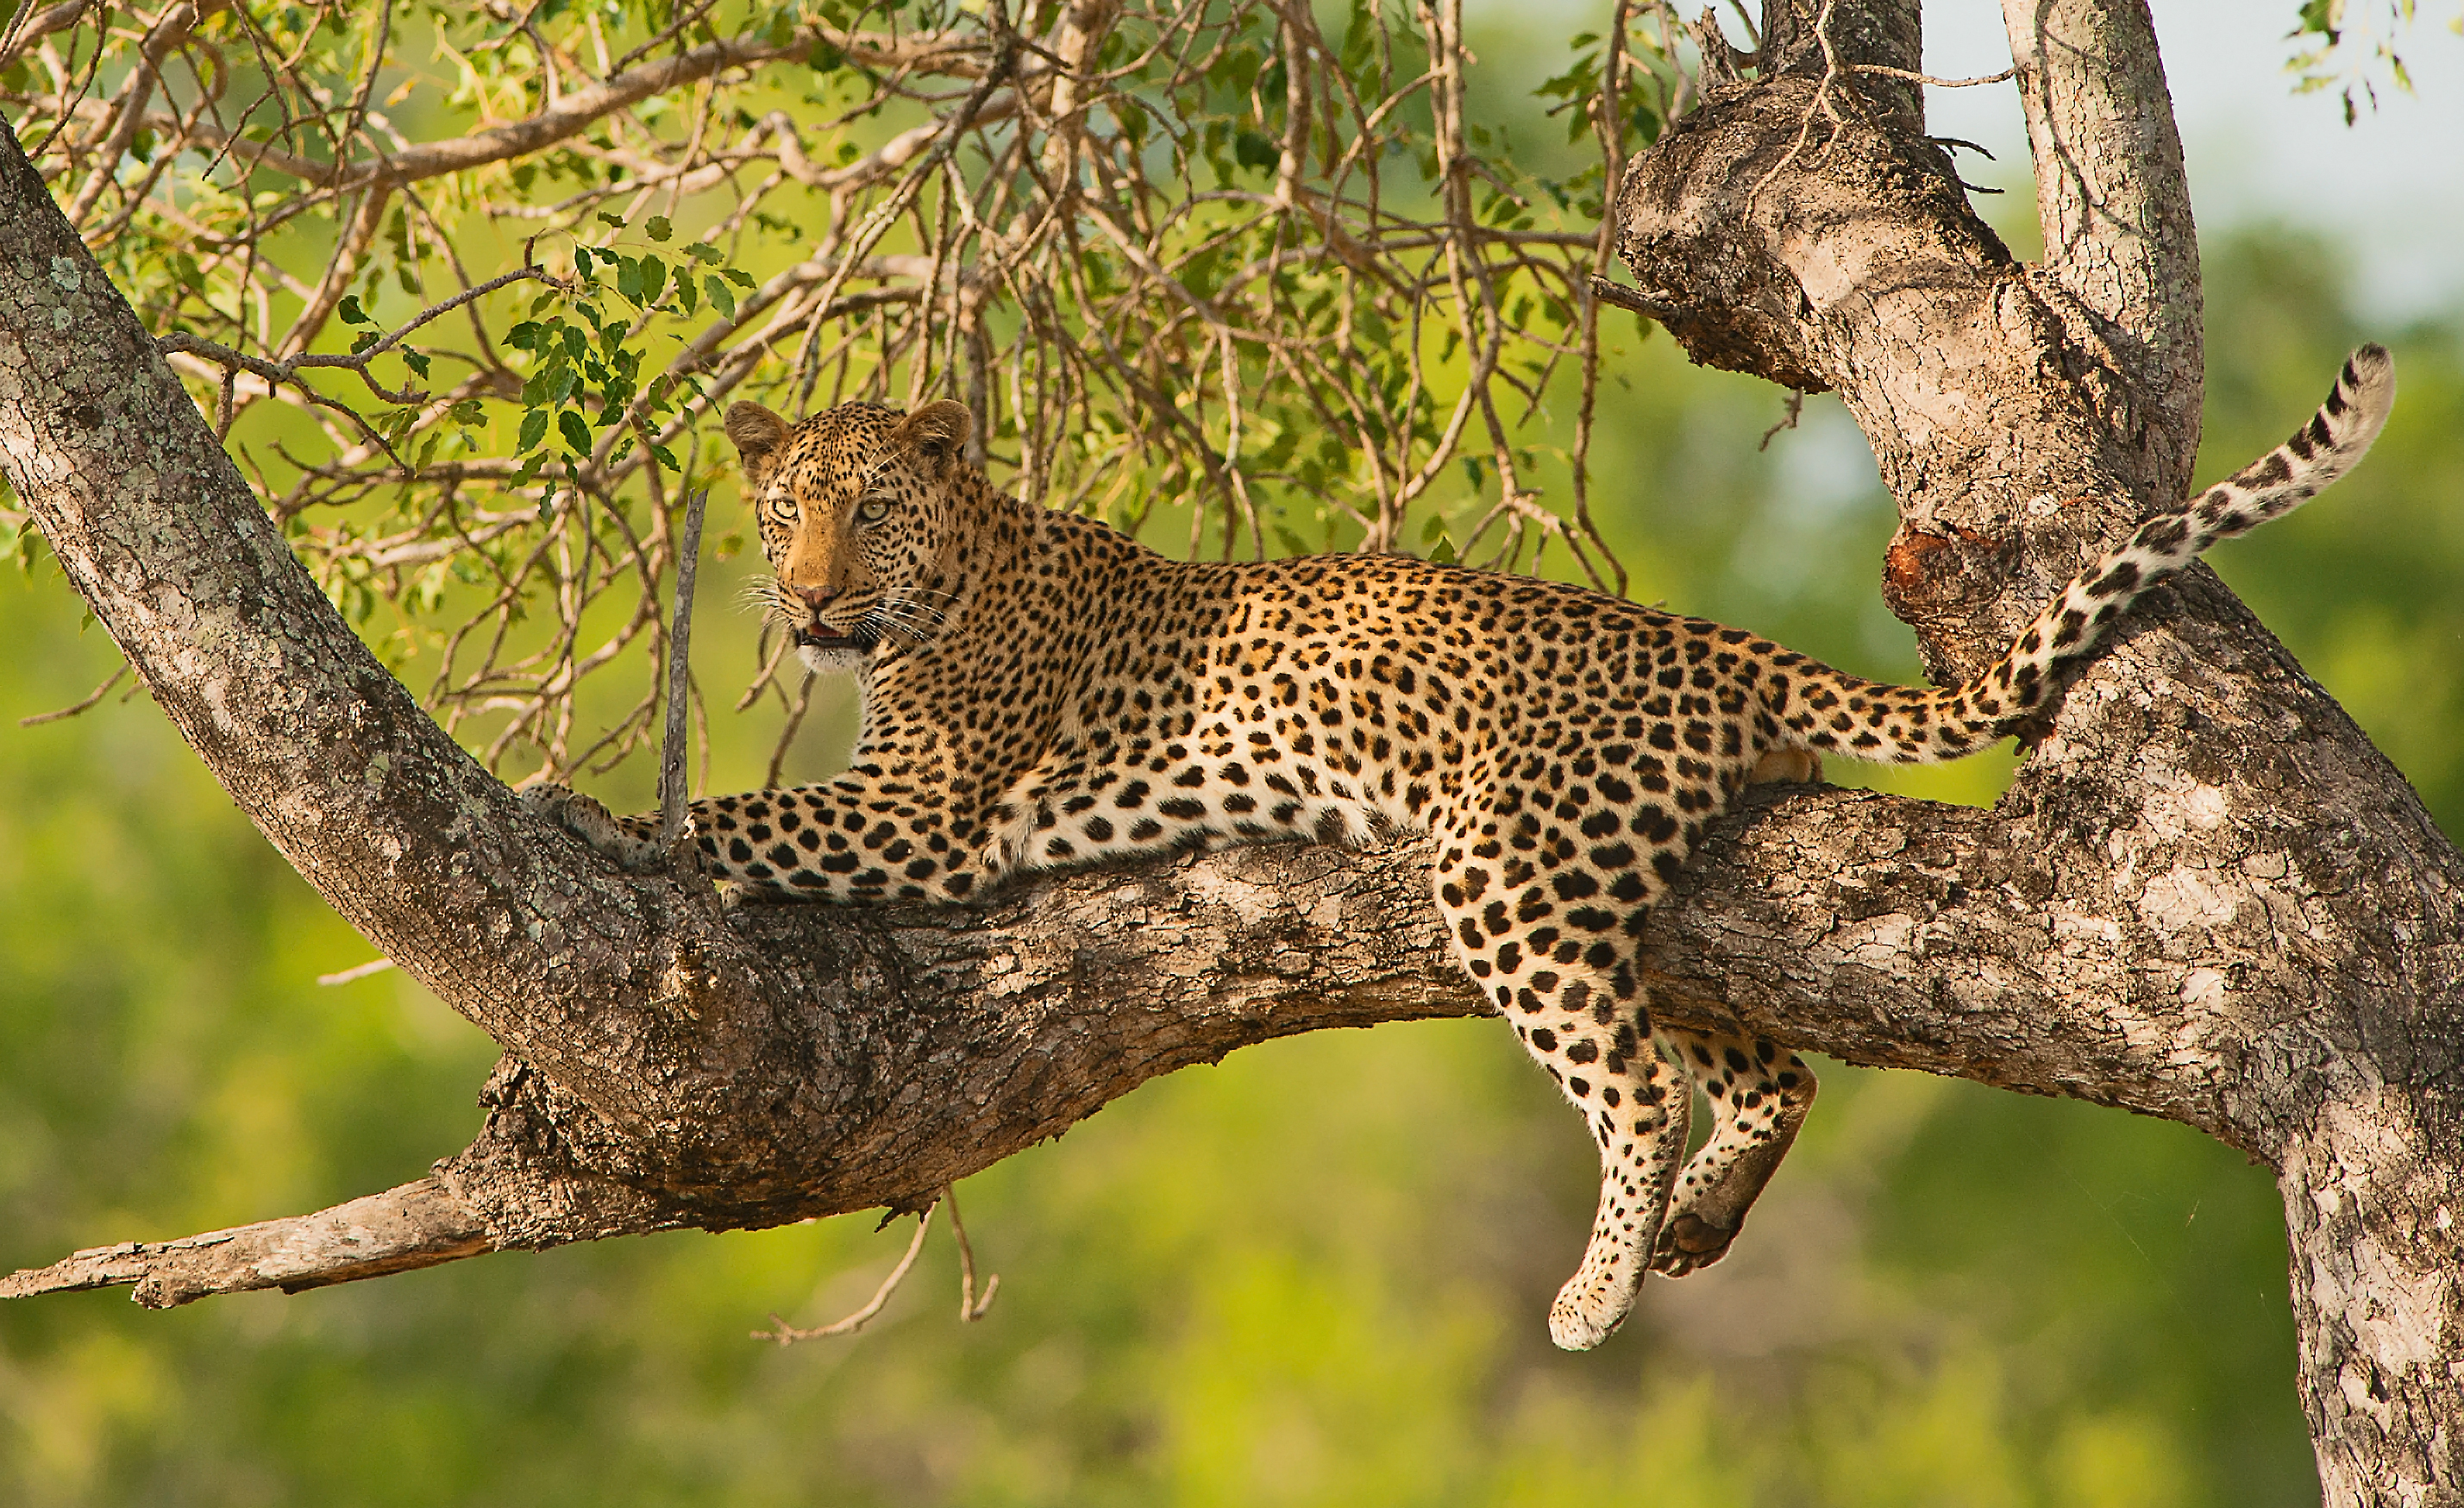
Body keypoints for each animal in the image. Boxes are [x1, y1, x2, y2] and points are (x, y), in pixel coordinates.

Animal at [534, 344, 2385, 1350]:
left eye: (869, 511)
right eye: (787, 512)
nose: (808, 600)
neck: (949, 583)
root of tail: (1702, 643)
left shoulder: (926, 816)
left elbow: (723, 814)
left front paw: (579, 809)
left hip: (1508, 870)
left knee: (1636, 1087)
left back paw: (1597, 1286)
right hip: (1630, 886)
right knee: (1768, 1067)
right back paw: (1695, 1228)